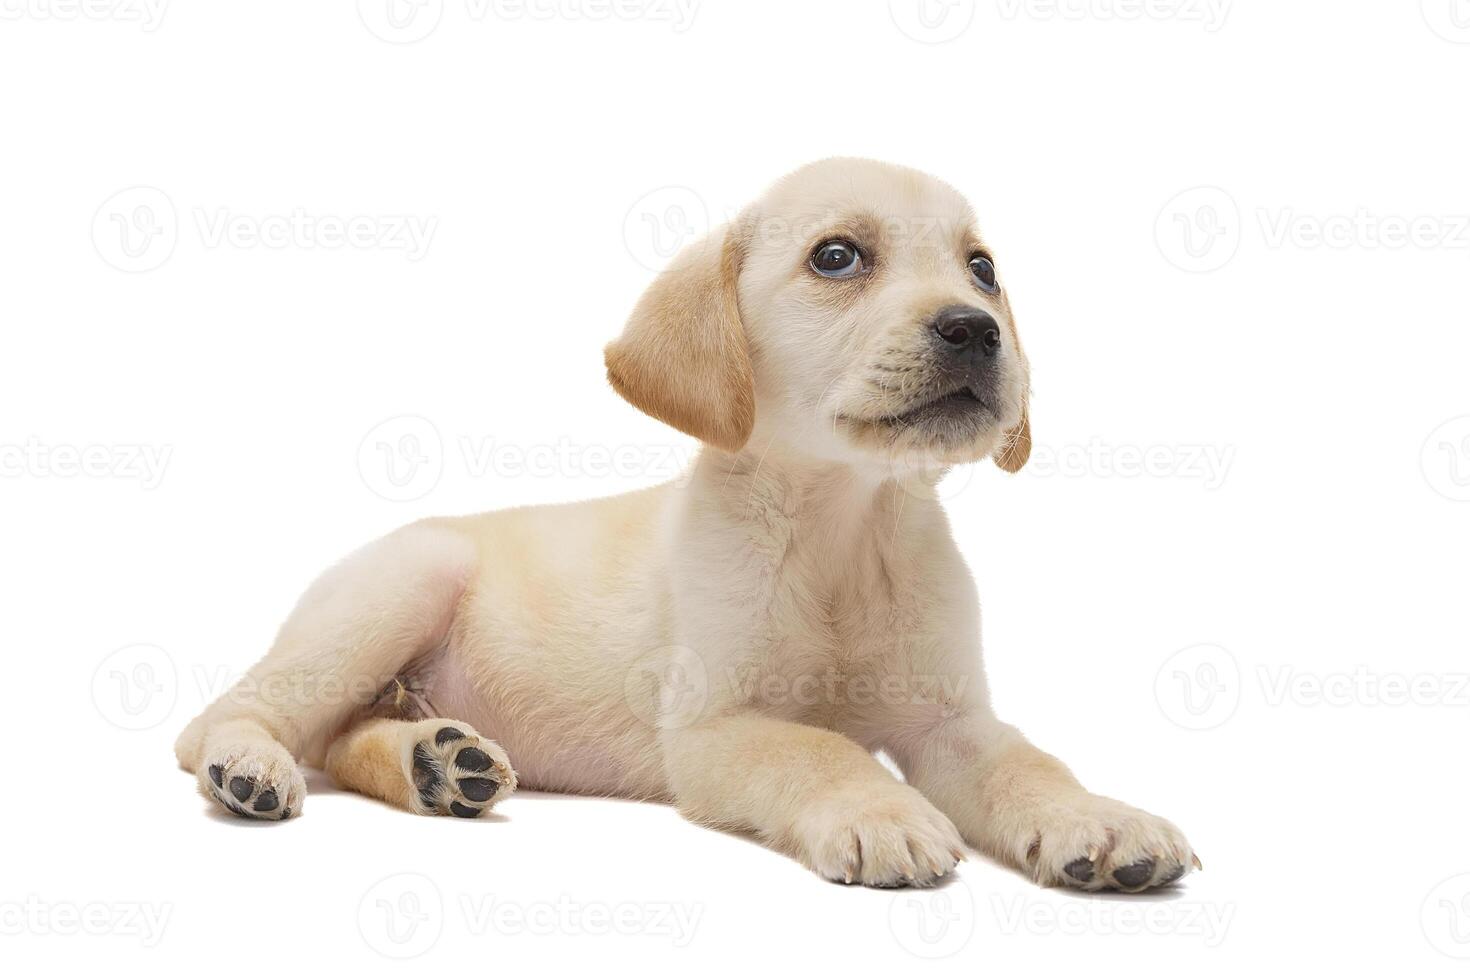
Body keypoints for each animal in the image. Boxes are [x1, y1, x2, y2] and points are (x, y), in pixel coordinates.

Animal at [177, 157, 1199, 893]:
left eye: (982, 269)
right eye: (837, 256)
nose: (976, 328)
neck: (843, 524)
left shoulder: (952, 723)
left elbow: (1031, 764)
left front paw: (1098, 819)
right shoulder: (712, 727)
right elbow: (819, 747)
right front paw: (882, 815)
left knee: (344, 741)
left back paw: (440, 762)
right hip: (401, 583)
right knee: (225, 723)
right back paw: (249, 767)